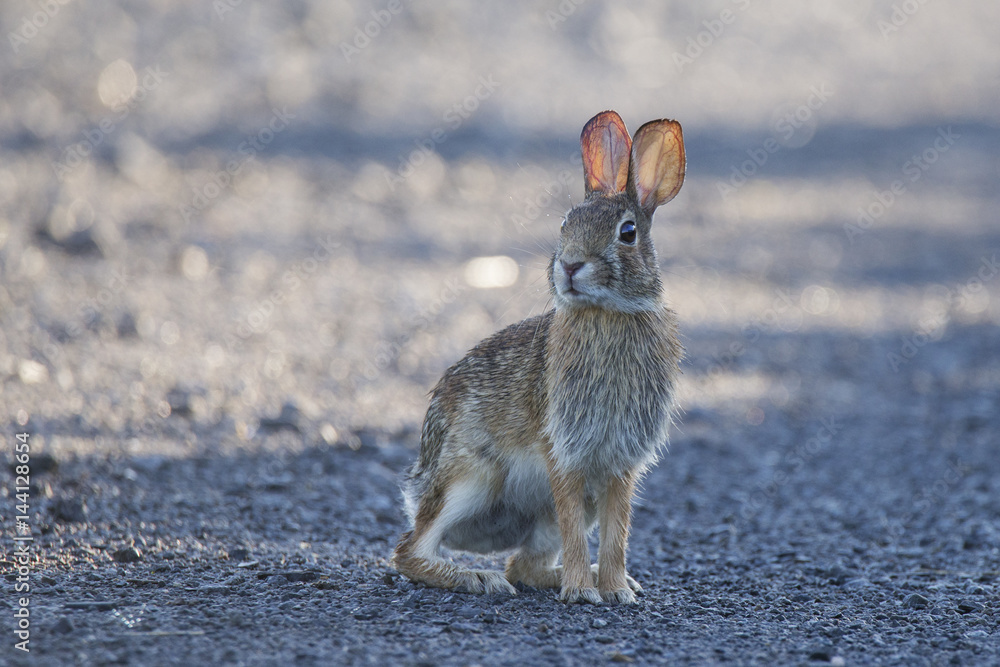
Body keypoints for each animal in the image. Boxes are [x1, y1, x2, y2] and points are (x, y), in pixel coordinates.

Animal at [392, 110, 686, 604]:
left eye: (627, 233)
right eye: (565, 222)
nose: (569, 265)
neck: (607, 312)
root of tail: (420, 478)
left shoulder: (619, 461)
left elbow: (617, 531)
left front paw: (615, 590)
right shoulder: (563, 450)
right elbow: (574, 523)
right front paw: (583, 594)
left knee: (522, 565)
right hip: (469, 478)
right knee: (410, 551)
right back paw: (477, 578)